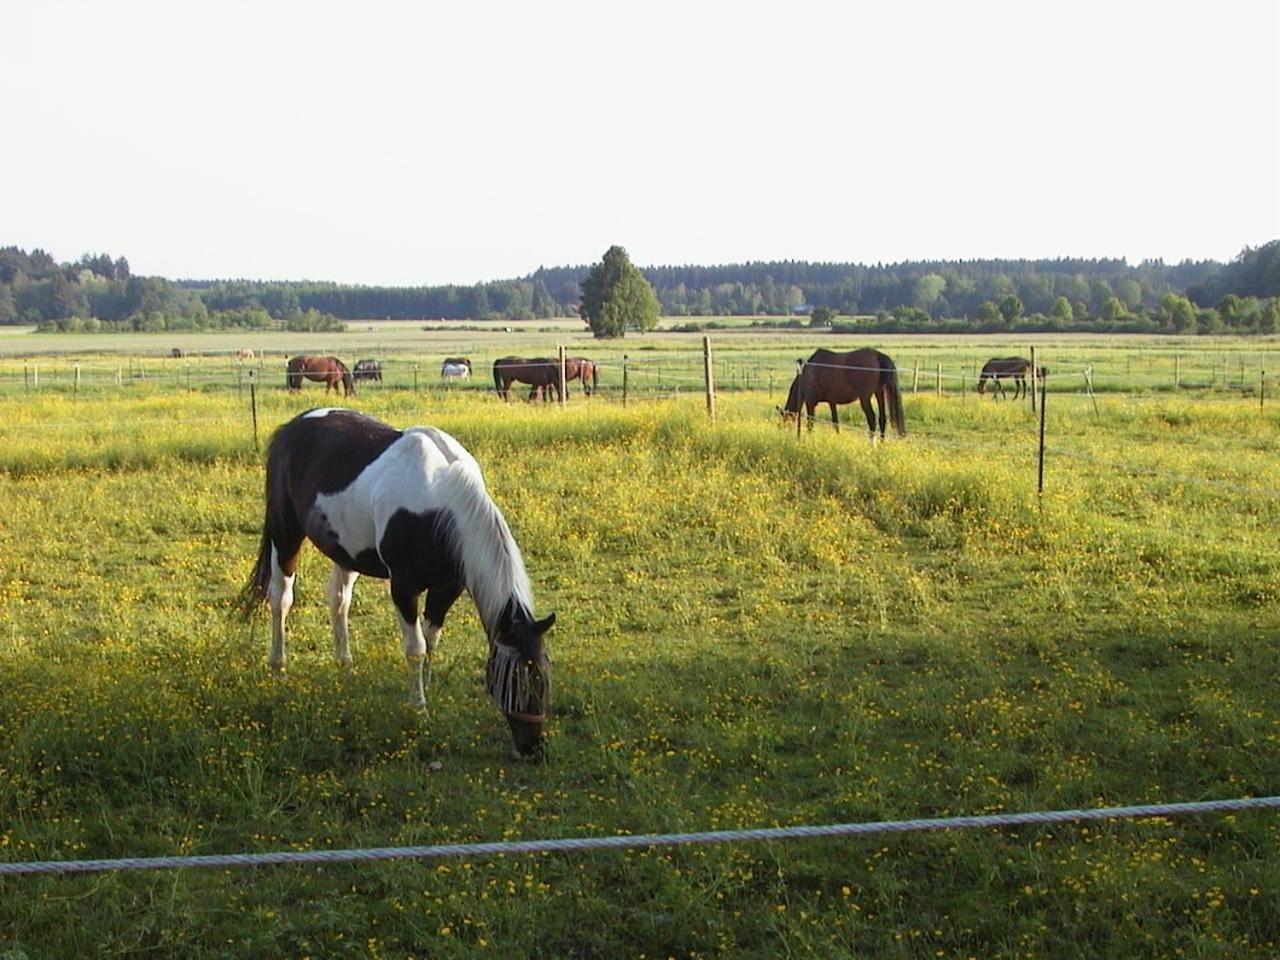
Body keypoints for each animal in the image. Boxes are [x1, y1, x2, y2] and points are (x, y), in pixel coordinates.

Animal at [235, 409, 555, 762]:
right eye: (516, 679)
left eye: (542, 678)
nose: (532, 748)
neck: (437, 502)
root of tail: (291, 427)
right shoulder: (403, 588)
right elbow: (416, 648)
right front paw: (419, 709)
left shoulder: (447, 587)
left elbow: (430, 643)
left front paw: (426, 690)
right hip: (286, 534)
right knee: (281, 599)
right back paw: (279, 668)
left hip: (345, 552)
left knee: (339, 600)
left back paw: (345, 666)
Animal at [778, 348, 911, 437]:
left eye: (785, 421)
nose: (784, 434)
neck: (805, 375)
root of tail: (878, 356)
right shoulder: (832, 403)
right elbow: (835, 423)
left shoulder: (810, 402)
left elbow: (811, 424)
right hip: (879, 393)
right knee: (882, 419)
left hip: (865, 398)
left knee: (872, 420)